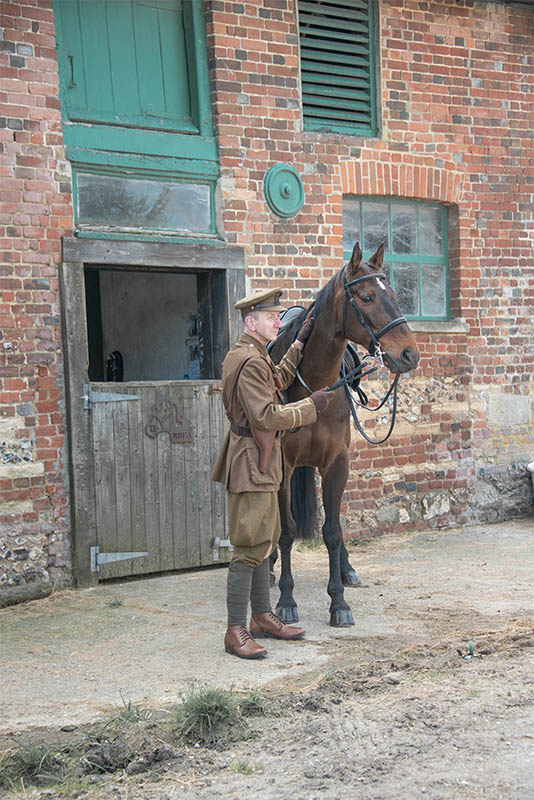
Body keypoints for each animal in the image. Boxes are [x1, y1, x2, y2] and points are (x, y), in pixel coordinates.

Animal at [270, 241, 420, 628]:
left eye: (394, 294)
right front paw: (286, 600)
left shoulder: (337, 463)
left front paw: (338, 601)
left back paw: (347, 569)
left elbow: (333, 532)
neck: (314, 383)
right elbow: (287, 531)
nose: (409, 354)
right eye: (366, 297)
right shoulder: (282, 467)